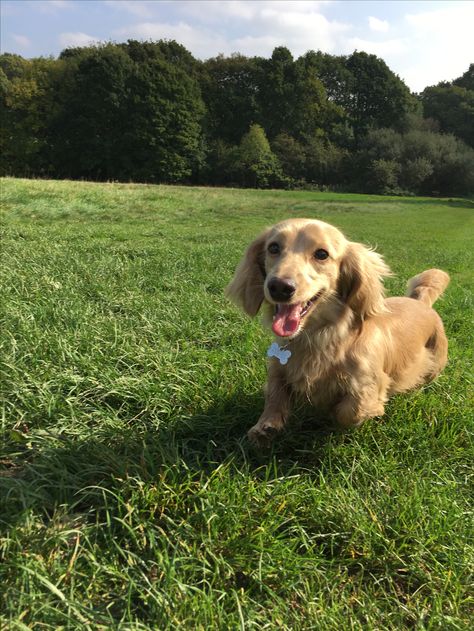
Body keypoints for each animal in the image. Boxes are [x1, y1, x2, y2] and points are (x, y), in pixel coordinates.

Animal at [226, 220, 448, 446]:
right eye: (273, 248)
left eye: (322, 254)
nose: (279, 287)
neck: (319, 336)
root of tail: (421, 302)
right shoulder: (278, 367)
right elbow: (274, 395)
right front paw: (265, 427)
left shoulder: (369, 382)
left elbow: (350, 410)